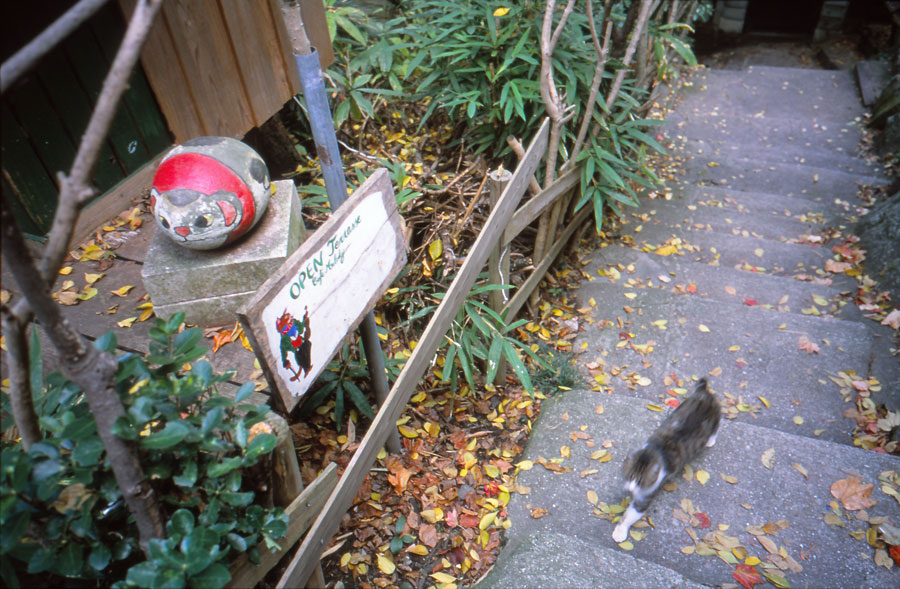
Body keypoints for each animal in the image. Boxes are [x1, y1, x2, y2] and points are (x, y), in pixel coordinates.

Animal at [608, 378, 720, 540]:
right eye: (629, 476)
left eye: (641, 481)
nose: (629, 489)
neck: (654, 450)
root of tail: (704, 393)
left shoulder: (647, 495)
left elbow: (630, 514)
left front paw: (620, 532)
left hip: (716, 419)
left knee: (716, 429)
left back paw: (710, 441)